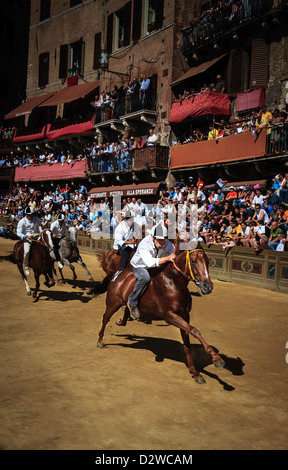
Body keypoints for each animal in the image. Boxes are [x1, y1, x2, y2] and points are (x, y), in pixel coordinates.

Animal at [97, 244, 225, 384]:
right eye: (193, 261)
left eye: (207, 261)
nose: (208, 286)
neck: (173, 282)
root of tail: (117, 274)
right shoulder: (169, 315)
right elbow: (194, 330)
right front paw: (216, 358)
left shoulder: (185, 315)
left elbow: (187, 341)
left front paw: (195, 372)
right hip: (112, 303)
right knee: (105, 318)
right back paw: (100, 340)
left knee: (124, 310)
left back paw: (125, 319)